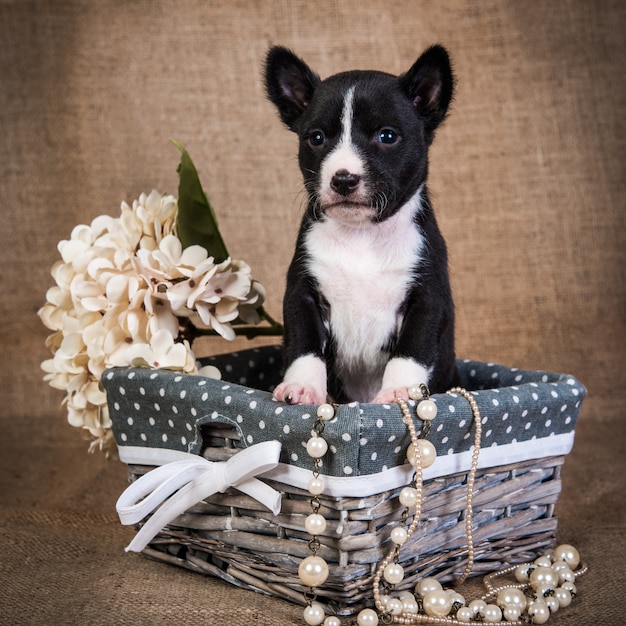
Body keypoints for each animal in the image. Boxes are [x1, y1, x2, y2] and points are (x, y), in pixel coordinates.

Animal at [264, 45, 458, 404]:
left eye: (387, 136)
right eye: (316, 138)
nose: (343, 179)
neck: (362, 235)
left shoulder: (428, 298)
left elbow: (411, 350)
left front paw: (400, 390)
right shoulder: (302, 293)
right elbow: (304, 345)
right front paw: (303, 386)